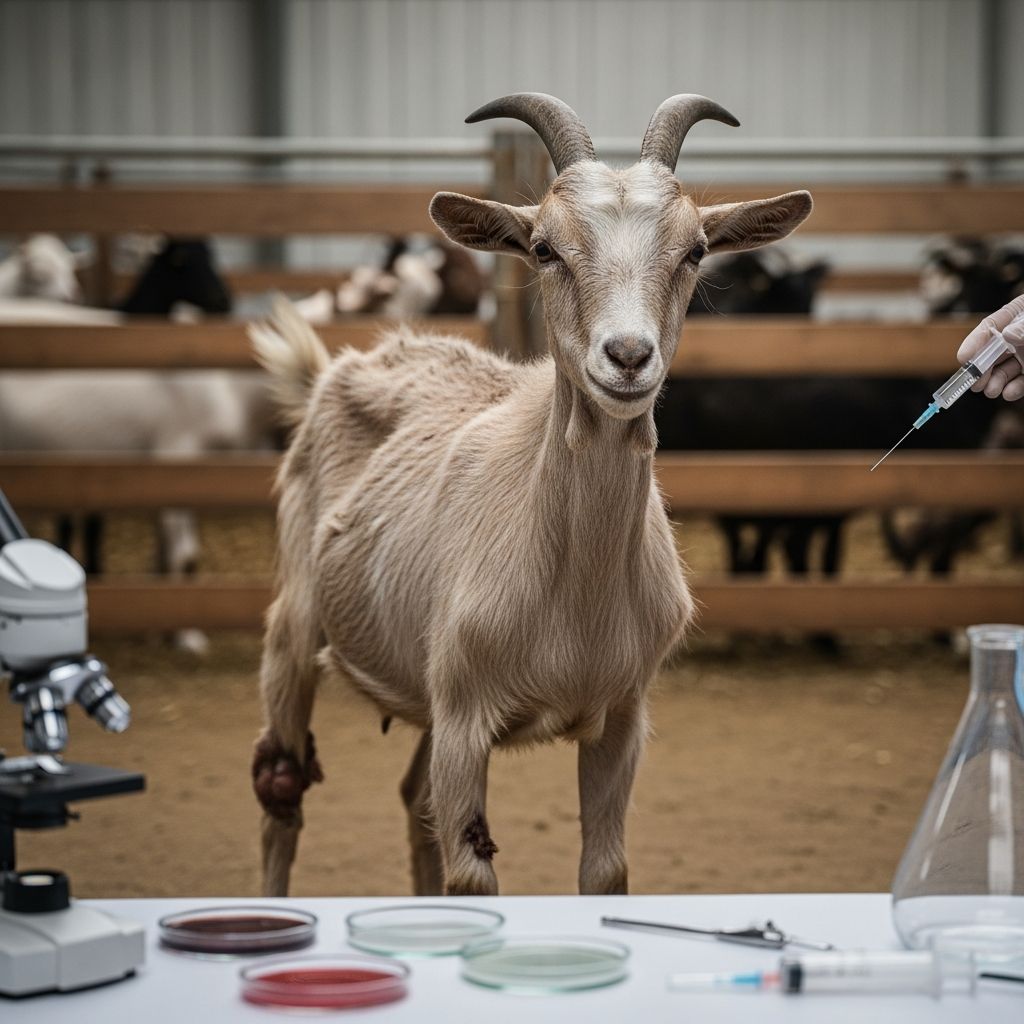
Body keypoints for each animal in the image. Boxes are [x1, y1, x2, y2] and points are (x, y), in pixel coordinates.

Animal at [250, 93, 812, 897]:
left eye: (696, 250)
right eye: (544, 249)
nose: (628, 356)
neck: (571, 598)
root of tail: (338, 369)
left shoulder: (620, 722)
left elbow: (604, 873)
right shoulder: (464, 720)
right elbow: (472, 880)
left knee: (412, 801)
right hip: (296, 628)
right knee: (282, 795)